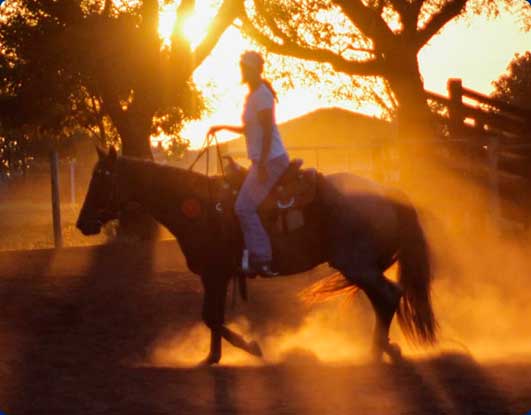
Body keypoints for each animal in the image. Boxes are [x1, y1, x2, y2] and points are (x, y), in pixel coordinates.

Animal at [77, 147, 438, 368]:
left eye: (100, 178)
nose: (82, 223)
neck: (199, 206)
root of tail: (389, 193)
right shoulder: (217, 275)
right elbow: (214, 317)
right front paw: (212, 357)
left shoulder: (214, 273)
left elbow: (211, 317)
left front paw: (250, 347)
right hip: (361, 267)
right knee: (384, 299)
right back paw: (386, 347)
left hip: (356, 264)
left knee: (388, 295)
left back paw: (376, 351)